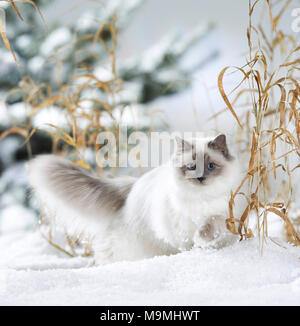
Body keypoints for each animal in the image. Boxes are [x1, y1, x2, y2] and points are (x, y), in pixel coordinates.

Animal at [27, 134, 244, 264]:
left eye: (210, 166)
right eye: (191, 167)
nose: (200, 178)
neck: (202, 197)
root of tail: (130, 189)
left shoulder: (222, 216)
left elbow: (209, 226)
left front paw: (204, 241)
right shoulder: (178, 229)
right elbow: (190, 242)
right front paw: (198, 248)